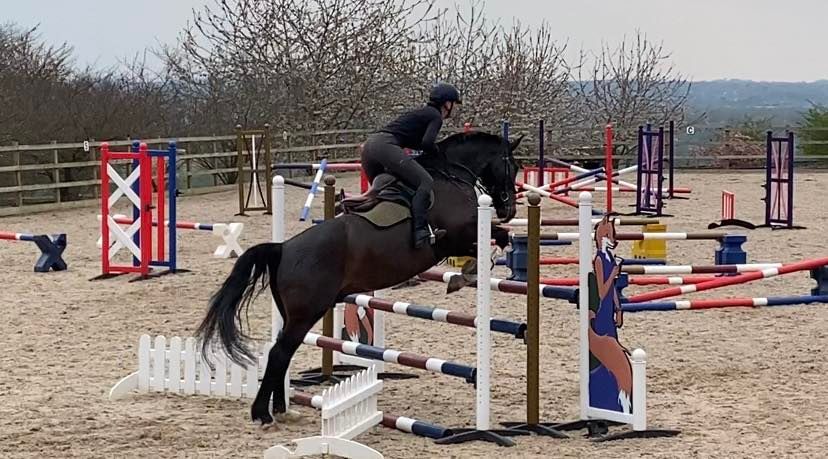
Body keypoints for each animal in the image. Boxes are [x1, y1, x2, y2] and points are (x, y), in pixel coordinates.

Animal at [196, 129, 520, 424]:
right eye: (511, 167)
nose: (508, 209)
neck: (451, 176)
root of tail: (283, 248)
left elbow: (499, 239)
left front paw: (465, 274)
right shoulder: (455, 237)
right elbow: (499, 238)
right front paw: (467, 274)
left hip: (293, 314)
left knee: (283, 353)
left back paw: (281, 408)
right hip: (306, 313)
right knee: (279, 353)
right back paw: (263, 413)